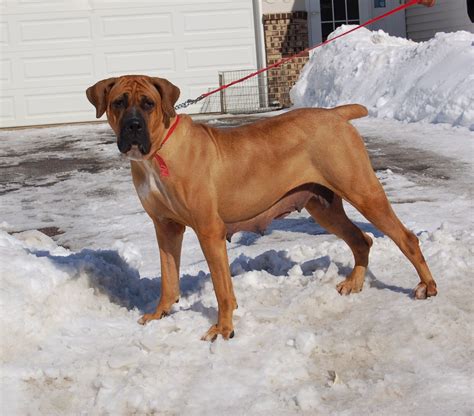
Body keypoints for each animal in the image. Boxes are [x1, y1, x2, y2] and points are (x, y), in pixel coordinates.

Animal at [87, 75, 438, 342]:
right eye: (119, 102)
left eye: (148, 103)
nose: (134, 127)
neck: (156, 153)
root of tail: (336, 114)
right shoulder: (166, 227)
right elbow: (168, 279)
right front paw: (159, 315)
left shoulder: (209, 230)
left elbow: (222, 288)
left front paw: (223, 329)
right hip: (323, 207)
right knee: (361, 239)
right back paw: (354, 283)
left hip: (363, 192)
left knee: (406, 238)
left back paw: (427, 287)